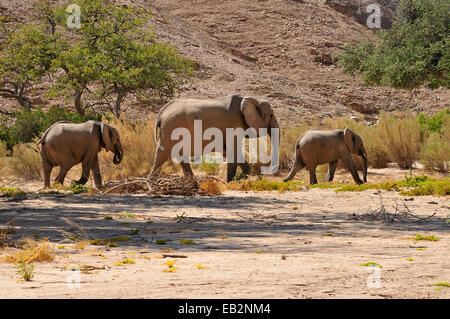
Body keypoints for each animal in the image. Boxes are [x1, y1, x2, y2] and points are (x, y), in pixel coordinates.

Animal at [149, 94, 280, 181]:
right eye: (271, 115)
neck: (252, 99)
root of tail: (161, 113)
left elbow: (229, 152)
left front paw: (240, 179)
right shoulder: (234, 123)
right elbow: (233, 151)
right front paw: (231, 182)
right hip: (170, 128)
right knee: (162, 154)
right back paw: (151, 183)